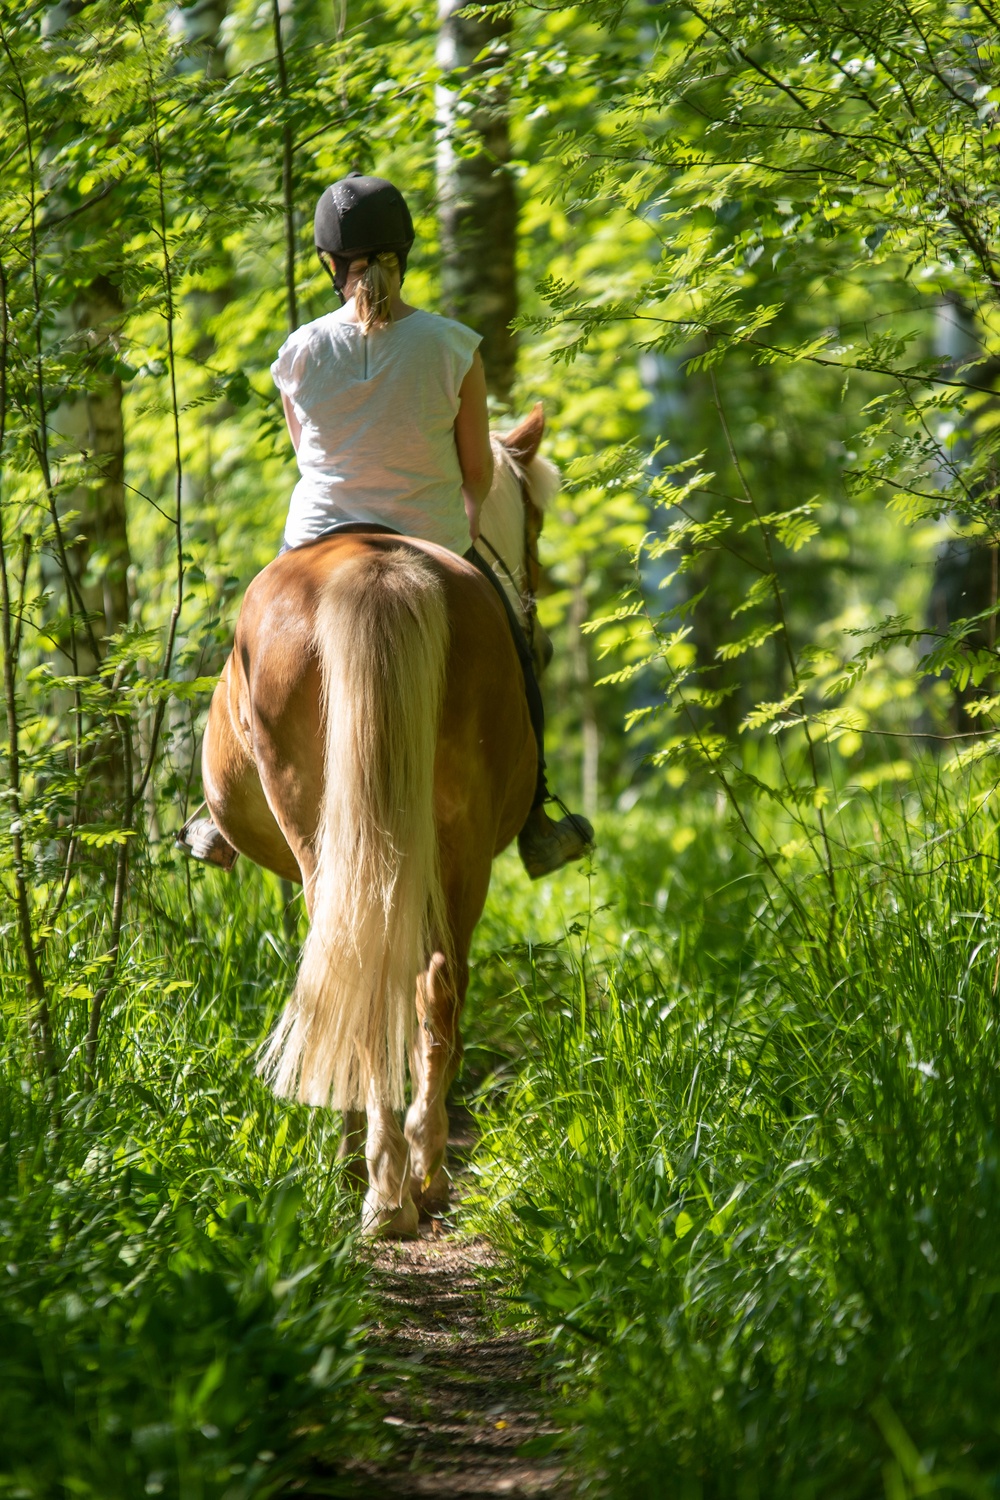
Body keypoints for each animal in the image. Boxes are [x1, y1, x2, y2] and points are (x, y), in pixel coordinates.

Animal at [200, 405, 558, 1236]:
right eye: (536, 521)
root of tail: (377, 571)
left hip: (337, 842)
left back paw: (387, 1185)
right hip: (453, 847)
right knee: (434, 983)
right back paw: (414, 1179)